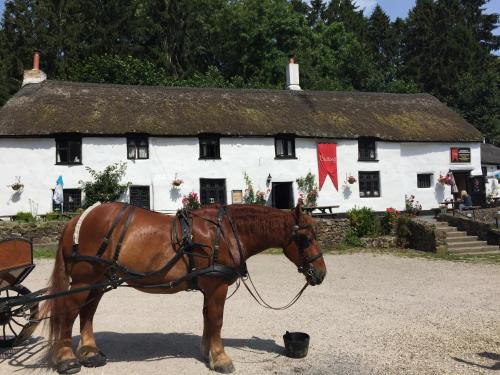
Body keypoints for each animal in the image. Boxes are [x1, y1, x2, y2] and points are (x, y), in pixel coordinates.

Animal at [40, 204, 328, 374]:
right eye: (305, 238)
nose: (321, 273)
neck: (223, 234)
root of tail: (79, 218)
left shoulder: (209, 287)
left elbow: (207, 318)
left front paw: (208, 351)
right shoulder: (217, 287)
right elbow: (217, 320)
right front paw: (221, 357)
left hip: (98, 280)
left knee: (87, 312)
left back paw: (89, 352)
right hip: (83, 280)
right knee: (69, 312)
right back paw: (66, 358)